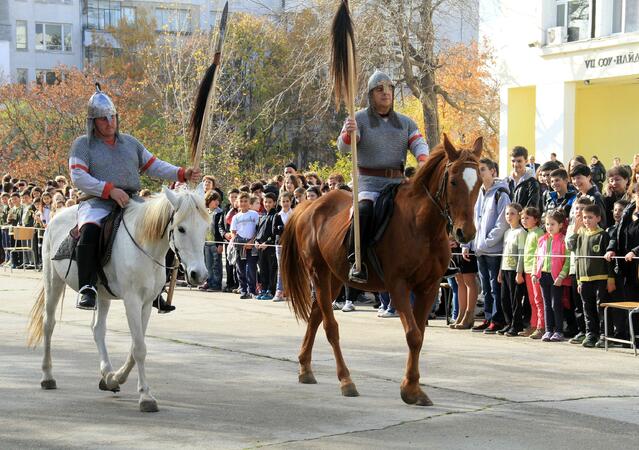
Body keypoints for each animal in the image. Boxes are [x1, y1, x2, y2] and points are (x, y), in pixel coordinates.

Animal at [27, 188, 208, 414]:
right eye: (181, 229)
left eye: (205, 228)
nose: (199, 275)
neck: (143, 245)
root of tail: (55, 218)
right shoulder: (132, 301)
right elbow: (139, 349)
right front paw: (146, 397)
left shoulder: (146, 304)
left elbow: (135, 347)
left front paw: (115, 379)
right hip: (53, 281)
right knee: (48, 324)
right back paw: (47, 376)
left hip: (102, 295)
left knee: (98, 329)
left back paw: (107, 374)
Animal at [282, 135, 482, 406]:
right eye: (453, 181)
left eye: (479, 182)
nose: (466, 233)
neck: (423, 226)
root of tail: (310, 206)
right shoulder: (399, 286)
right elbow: (413, 335)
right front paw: (410, 389)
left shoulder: (428, 287)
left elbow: (419, 335)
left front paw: (412, 387)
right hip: (319, 273)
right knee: (329, 326)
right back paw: (346, 380)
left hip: (335, 277)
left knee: (315, 315)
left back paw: (305, 368)